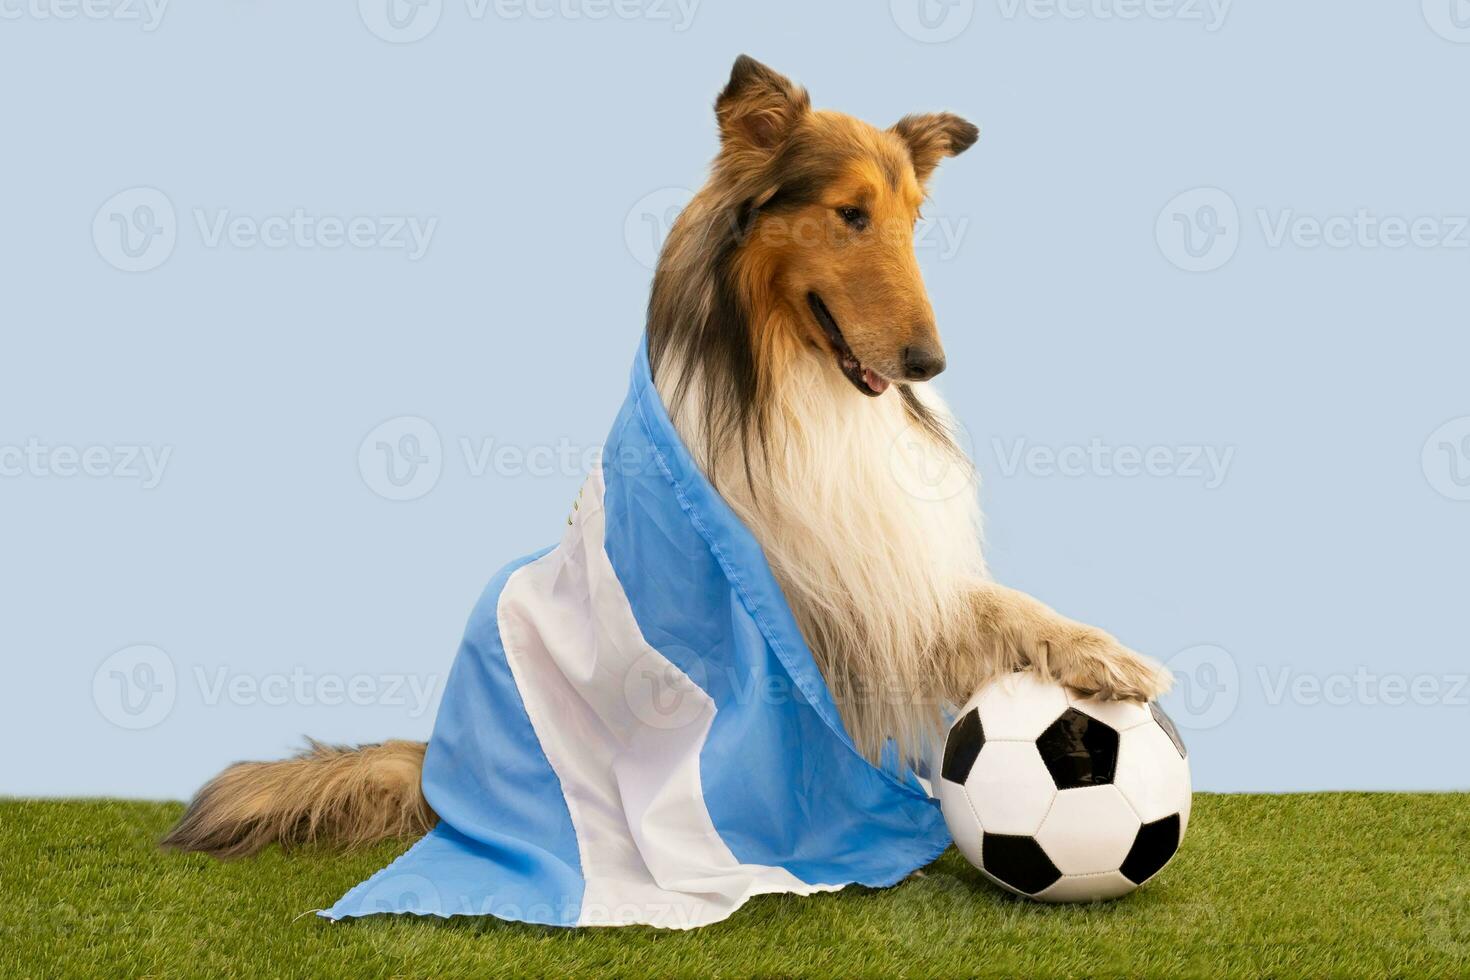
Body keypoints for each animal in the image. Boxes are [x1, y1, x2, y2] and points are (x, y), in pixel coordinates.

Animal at [160, 57, 1170, 863]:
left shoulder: (877, 584)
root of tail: (442, 766)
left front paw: (1109, 659)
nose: (929, 364)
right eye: (849, 214)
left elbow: (1007, 610)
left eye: (914, 221)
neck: (788, 385)